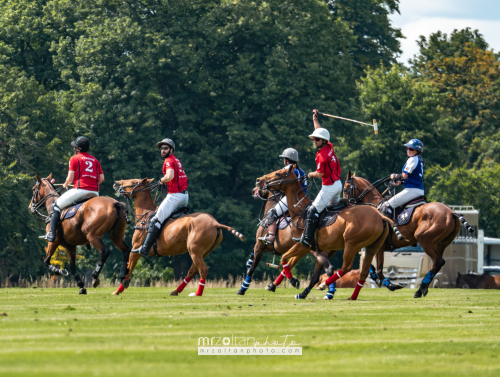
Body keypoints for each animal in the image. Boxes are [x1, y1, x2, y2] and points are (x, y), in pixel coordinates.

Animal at [113, 178, 246, 296]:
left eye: (133, 181)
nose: (116, 183)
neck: (144, 217)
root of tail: (215, 223)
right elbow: (128, 268)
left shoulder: (135, 250)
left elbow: (128, 269)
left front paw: (118, 290)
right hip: (202, 252)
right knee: (192, 270)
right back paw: (176, 291)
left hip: (194, 250)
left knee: (203, 269)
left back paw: (198, 293)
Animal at [256, 164, 392, 300]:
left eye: (278, 173)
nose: (259, 180)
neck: (300, 211)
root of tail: (381, 217)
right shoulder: (315, 248)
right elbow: (313, 273)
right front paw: (302, 292)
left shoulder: (303, 245)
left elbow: (284, 258)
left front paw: (294, 281)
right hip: (372, 247)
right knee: (364, 272)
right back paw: (352, 296)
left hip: (352, 244)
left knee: (346, 267)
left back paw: (324, 286)